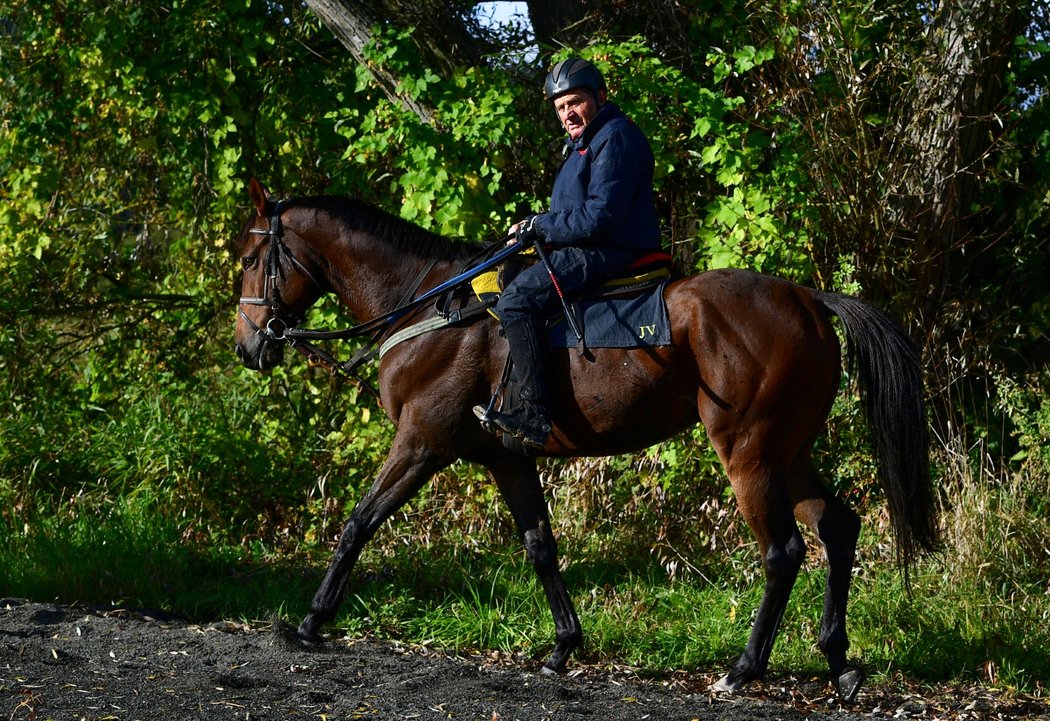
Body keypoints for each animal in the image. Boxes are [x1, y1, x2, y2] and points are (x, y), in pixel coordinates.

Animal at [234, 177, 940, 701]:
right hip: (787, 452)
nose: (248, 347)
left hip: (750, 454)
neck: (428, 305)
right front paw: (563, 646)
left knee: (784, 551)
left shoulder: (422, 443)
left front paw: (311, 620)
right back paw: (838, 661)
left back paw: (744, 669)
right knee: (838, 528)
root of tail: (810, 300)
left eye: (248, 259)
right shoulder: (505, 459)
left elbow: (359, 523)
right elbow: (540, 548)